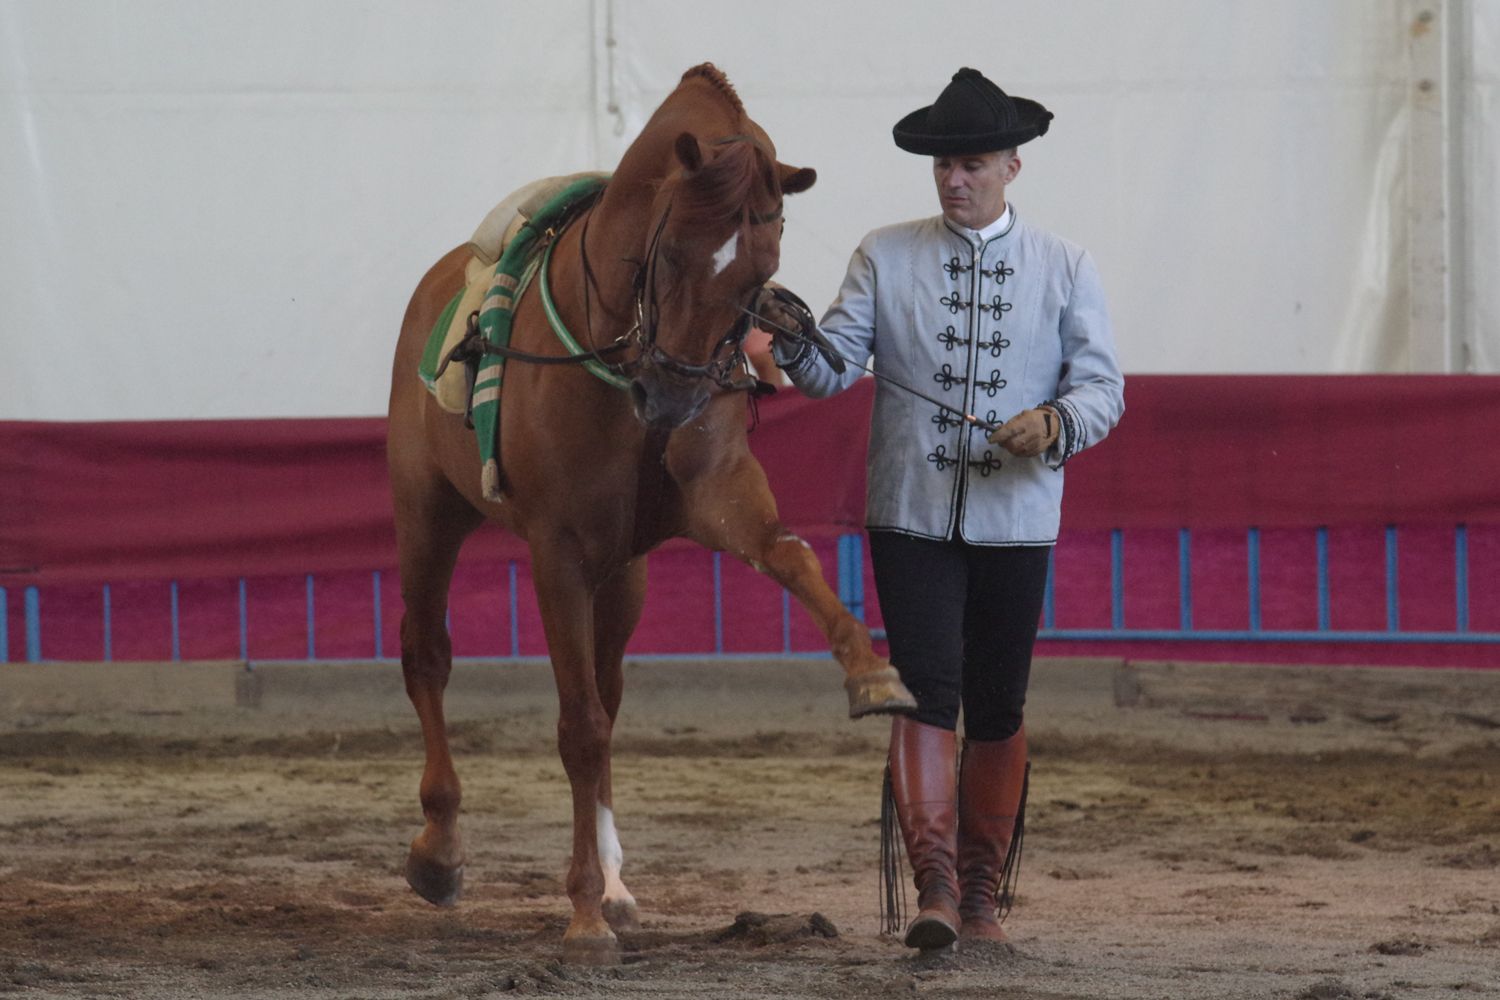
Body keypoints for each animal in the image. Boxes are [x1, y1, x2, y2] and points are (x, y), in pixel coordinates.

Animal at [384, 64, 912, 959]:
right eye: (668, 253)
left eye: (759, 271)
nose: (668, 394)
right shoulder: (558, 552)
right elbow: (578, 728)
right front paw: (583, 912)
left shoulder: (715, 495)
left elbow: (792, 553)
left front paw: (871, 670)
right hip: (429, 515)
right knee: (429, 659)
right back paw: (442, 851)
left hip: (621, 574)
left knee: (609, 687)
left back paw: (616, 880)